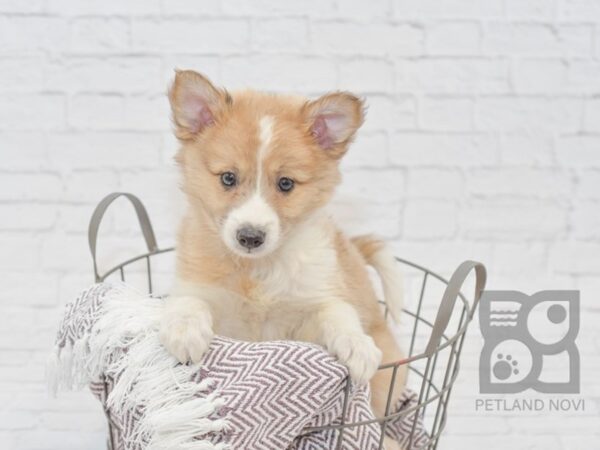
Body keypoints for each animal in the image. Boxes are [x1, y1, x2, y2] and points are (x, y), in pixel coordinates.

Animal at [159, 68, 408, 420]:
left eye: (286, 184)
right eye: (228, 178)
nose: (250, 237)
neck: (256, 271)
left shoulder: (308, 312)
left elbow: (336, 311)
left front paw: (356, 344)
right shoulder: (202, 292)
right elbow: (188, 301)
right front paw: (184, 331)